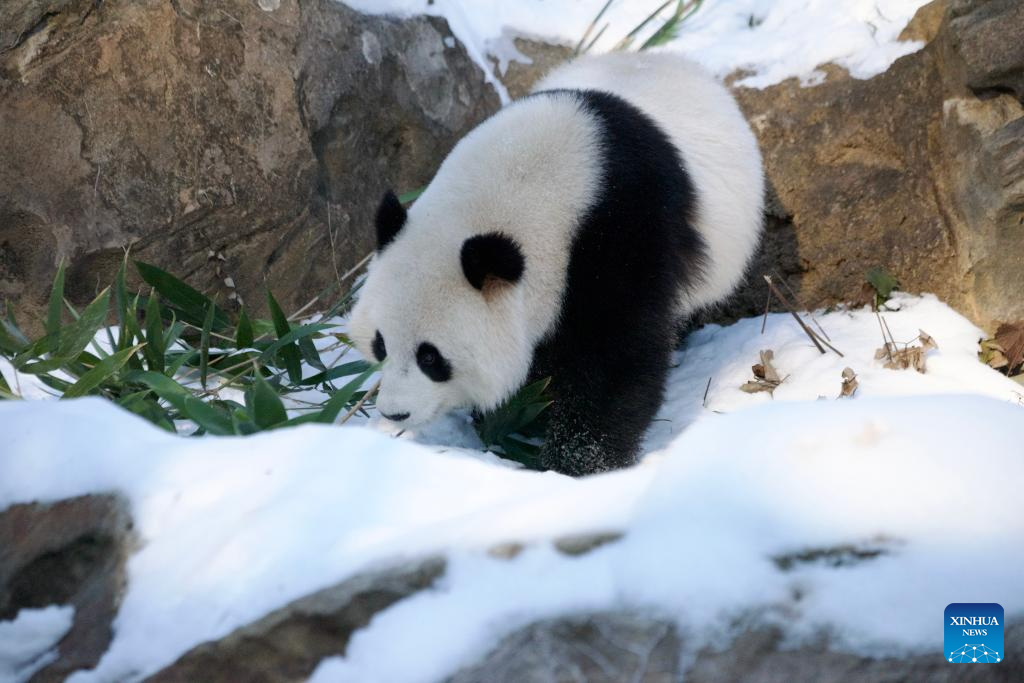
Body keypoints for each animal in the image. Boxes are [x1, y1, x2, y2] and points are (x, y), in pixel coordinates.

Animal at [350, 53, 761, 475]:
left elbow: (615, 359)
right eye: (380, 345)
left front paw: (575, 461)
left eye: (430, 357)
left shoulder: (621, 232)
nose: (395, 413)